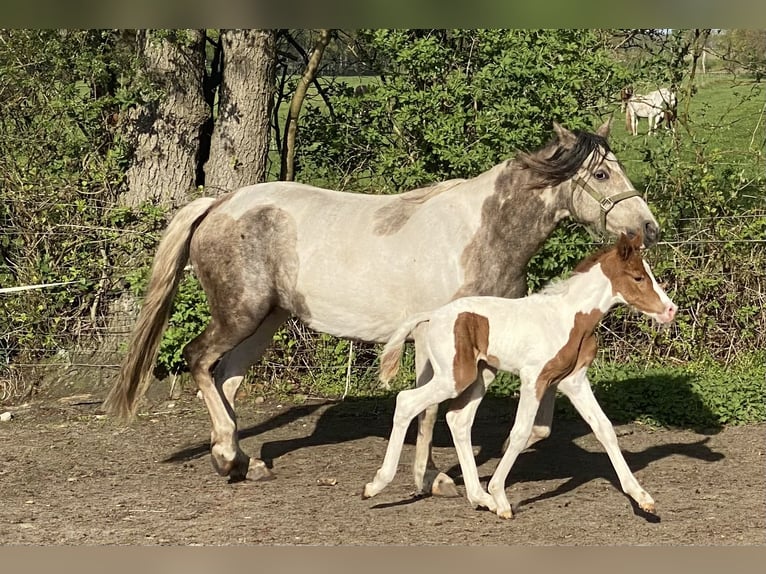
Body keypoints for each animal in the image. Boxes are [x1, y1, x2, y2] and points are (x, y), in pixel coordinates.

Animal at [366, 234, 680, 520]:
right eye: (638, 277)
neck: (569, 318)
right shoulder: (534, 379)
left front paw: (643, 499)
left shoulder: (574, 381)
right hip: (454, 377)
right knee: (407, 401)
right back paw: (376, 485)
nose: (670, 310)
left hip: (481, 375)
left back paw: (479, 498)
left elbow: (604, 428)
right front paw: (500, 495)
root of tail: (433, 315)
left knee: (458, 420)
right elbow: (519, 433)